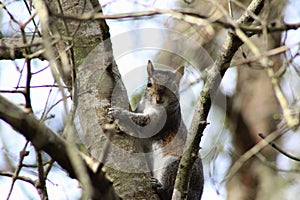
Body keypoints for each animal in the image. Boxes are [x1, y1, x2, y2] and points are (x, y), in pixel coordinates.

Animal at [108, 60, 204, 199]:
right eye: (149, 84)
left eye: (173, 87)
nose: (158, 99)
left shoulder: (163, 121)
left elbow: (142, 123)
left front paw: (120, 113)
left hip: (173, 165)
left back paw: (160, 187)